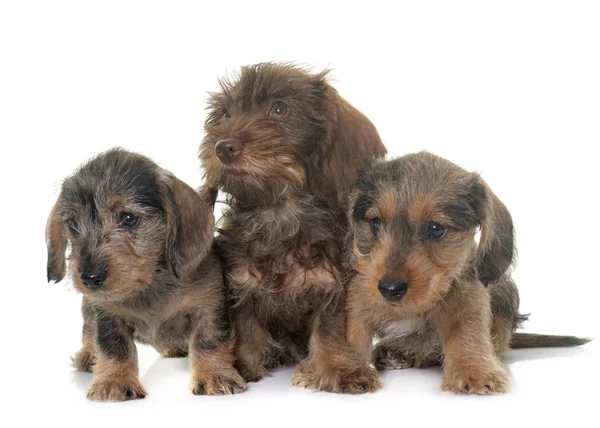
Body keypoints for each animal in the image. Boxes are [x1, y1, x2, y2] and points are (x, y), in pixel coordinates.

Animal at [45, 148, 245, 402]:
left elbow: (208, 340)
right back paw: (88, 355)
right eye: (73, 224)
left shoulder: (209, 306)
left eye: (129, 218)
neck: (149, 284)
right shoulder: (107, 315)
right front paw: (114, 380)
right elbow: (115, 346)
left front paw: (215, 374)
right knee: (88, 329)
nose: (89, 277)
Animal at [200, 61, 390, 392]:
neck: (278, 211)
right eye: (226, 115)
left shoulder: (333, 287)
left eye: (279, 109)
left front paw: (340, 369)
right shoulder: (240, 285)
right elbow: (247, 329)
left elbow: (329, 331)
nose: (223, 147)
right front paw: (241, 364)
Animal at [346, 151, 592, 394]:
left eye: (436, 228)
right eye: (375, 222)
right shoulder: (358, 302)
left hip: (505, 288)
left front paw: (474, 370)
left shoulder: (470, 301)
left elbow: (466, 334)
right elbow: (354, 336)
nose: (389, 289)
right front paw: (350, 370)